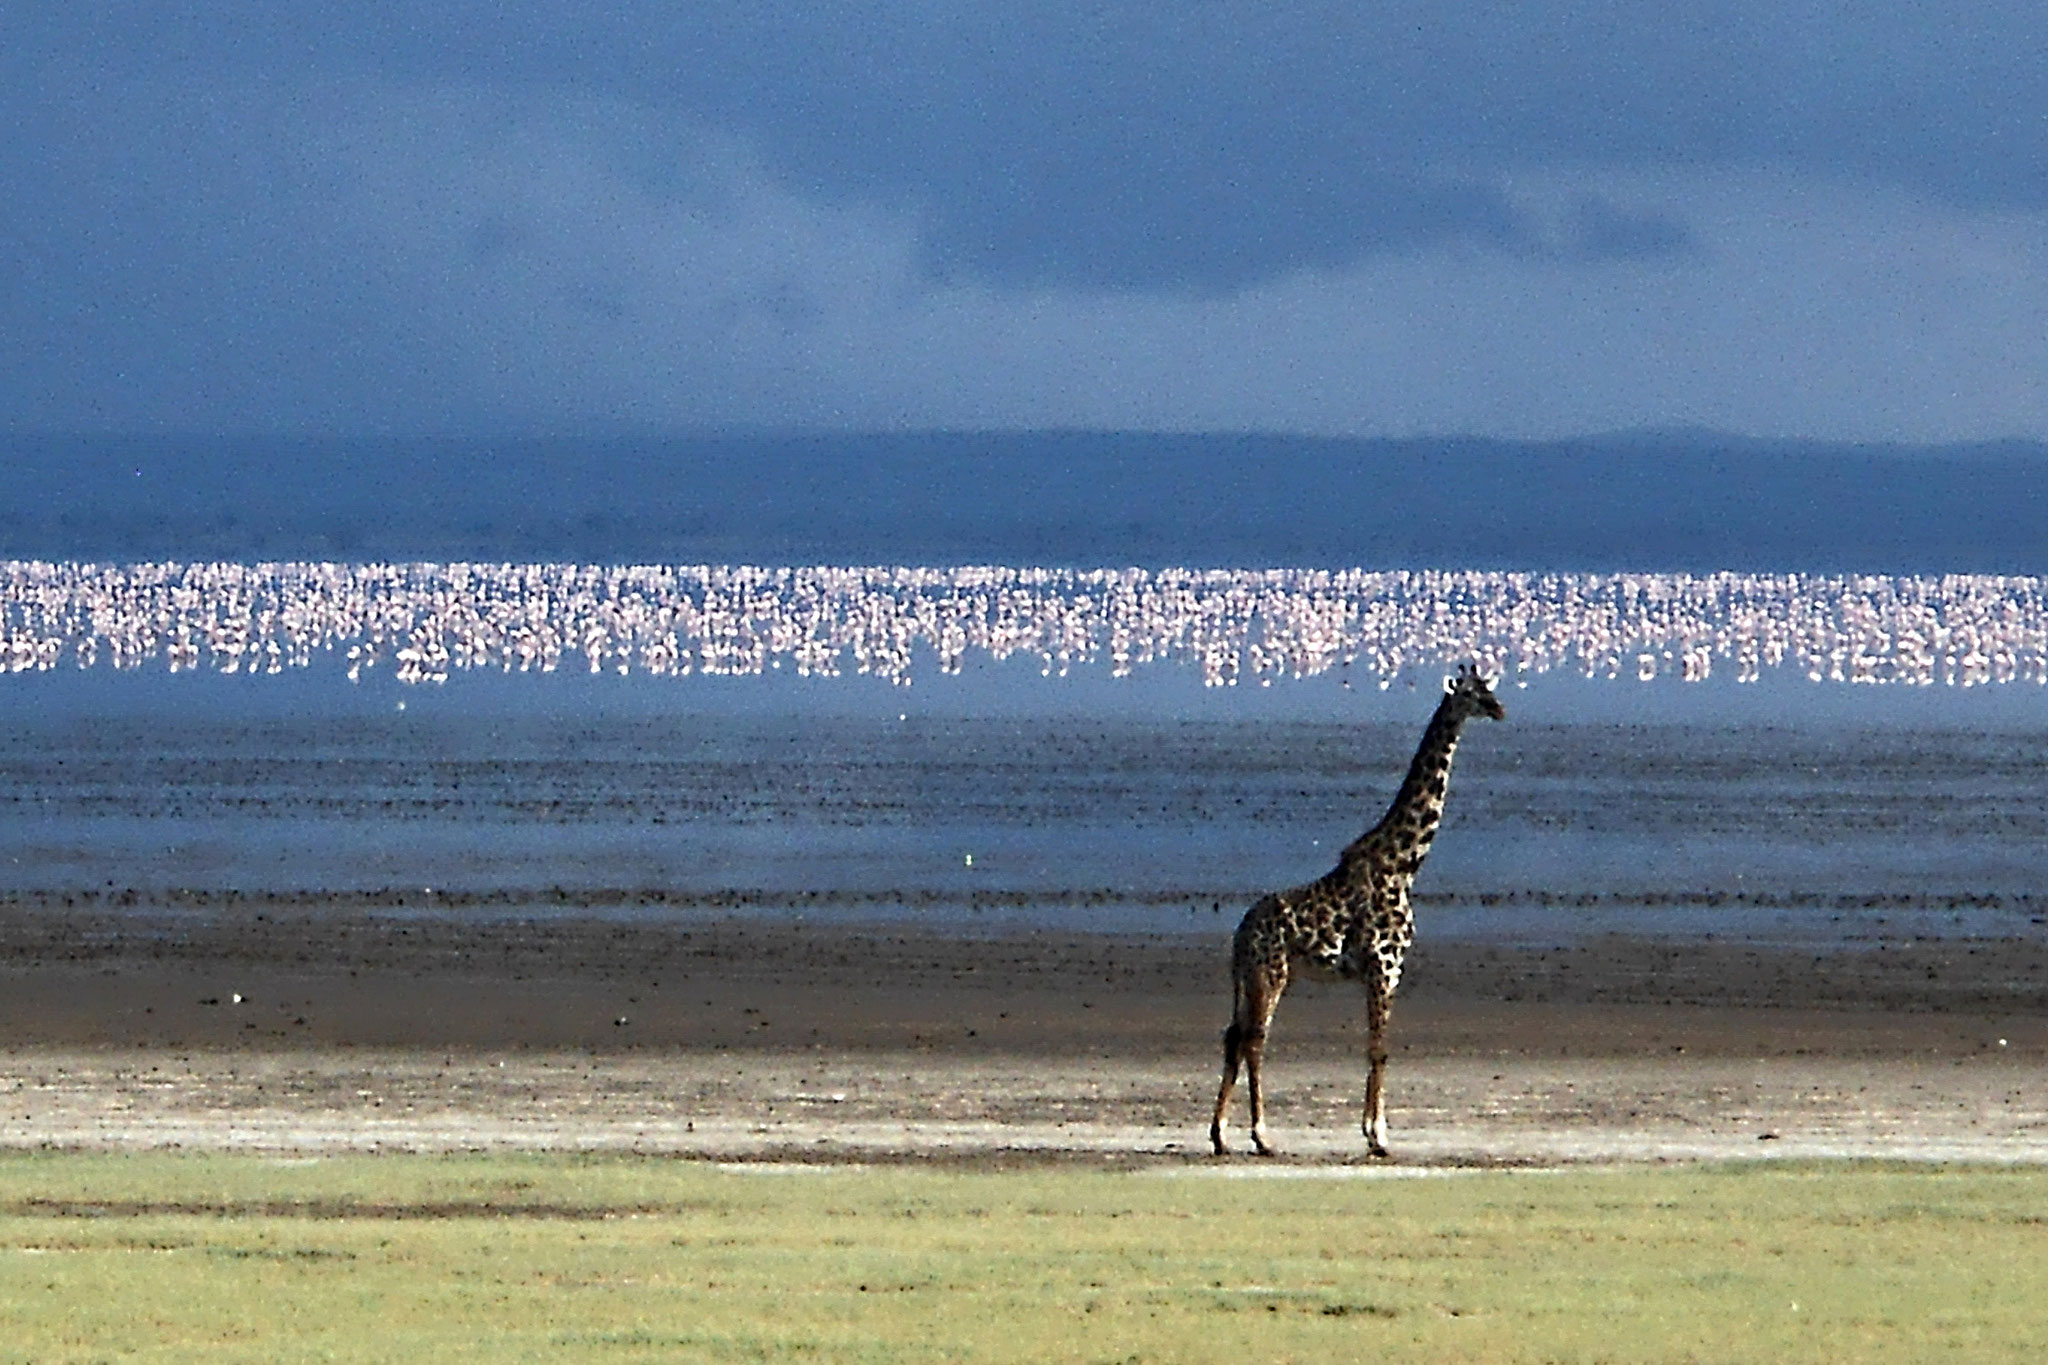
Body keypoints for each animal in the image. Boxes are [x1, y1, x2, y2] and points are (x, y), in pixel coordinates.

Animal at [1196, 667, 1507, 1162]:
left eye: (1490, 686)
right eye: (1475, 693)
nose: (1500, 709)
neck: (1405, 863)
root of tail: (1239, 935)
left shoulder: (1379, 971)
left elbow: (1375, 1047)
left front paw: (1373, 1131)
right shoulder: (1385, 965)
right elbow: (1379, 1048)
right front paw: (1378, 1137)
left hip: (1249, 978)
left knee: (1233, 1037)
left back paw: (1220, 1136)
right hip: (1271, 974)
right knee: (1254, 1040)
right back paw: (1262, 1136)